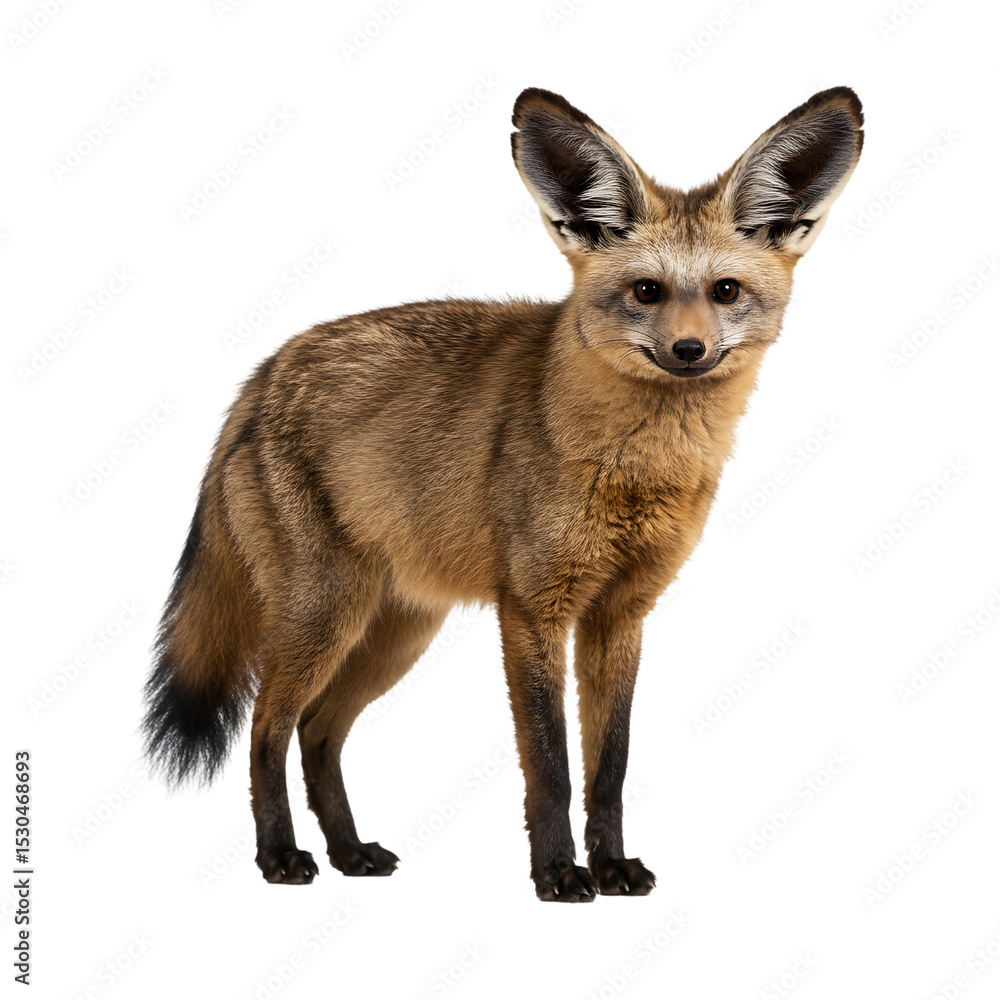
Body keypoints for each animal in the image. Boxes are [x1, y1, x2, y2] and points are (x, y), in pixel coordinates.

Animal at [142, 85, 863, 901]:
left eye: (726, 292)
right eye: (646, 291)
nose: (689, 351)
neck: (631, 469)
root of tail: (263, 374)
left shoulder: (620, 615)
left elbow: (609, 768)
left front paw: (611, 866)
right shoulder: (532, 610)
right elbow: (549, 766)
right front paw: (557, 873)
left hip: (395, 632)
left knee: (316, 732)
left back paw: (349, 852)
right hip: (324, 615)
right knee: (265, 730)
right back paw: (281, 857)